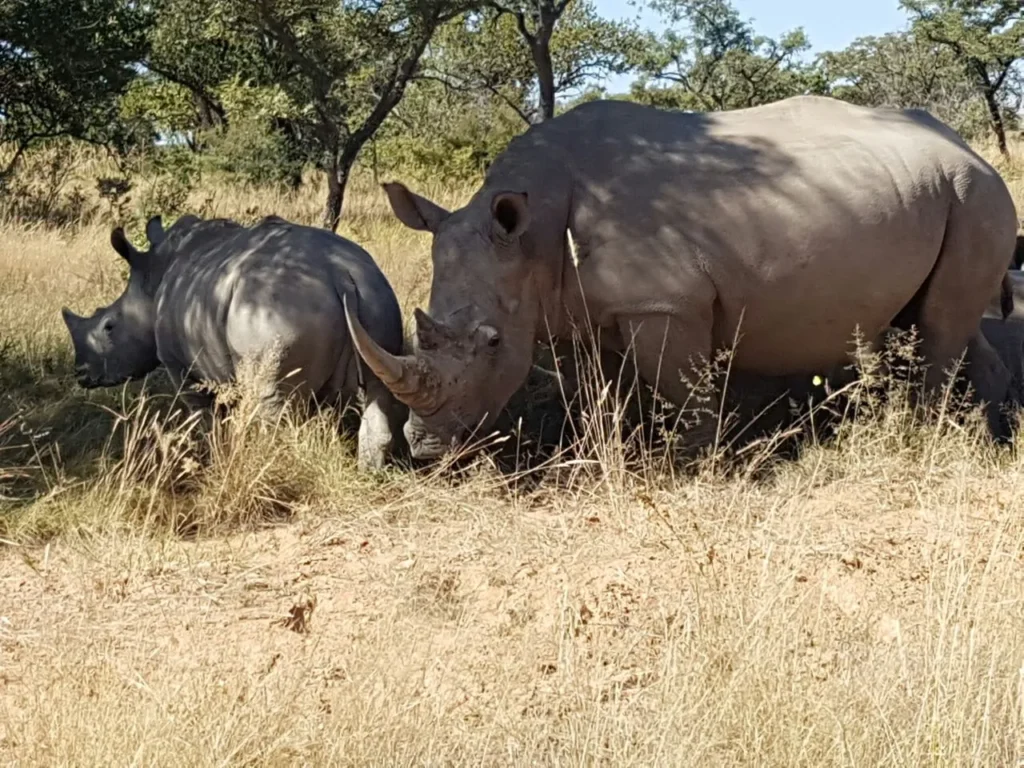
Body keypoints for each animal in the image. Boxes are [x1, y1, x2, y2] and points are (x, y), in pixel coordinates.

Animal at [61, 214, 406, 470]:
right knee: (379, 388)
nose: (81, 373)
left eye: (109, 326)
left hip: (277, 314)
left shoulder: (182, 368)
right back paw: (368, 474)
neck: (153, 278)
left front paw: (213, 457)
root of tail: (340, 274)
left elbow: (207, 418)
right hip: (376, 296)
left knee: (272, 408)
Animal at [343, 95, 1019, 459]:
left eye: (490, 344)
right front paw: (612, 447)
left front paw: (691, 466)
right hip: (943, 192)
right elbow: (605, 390)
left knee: (939, 326)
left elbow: (683, 387)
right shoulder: (588, 307)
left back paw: (922, 436)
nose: (427, 450)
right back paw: (991, 434)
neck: (531, 234)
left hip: (976, 193)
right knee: (944, 321)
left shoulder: (664, 302)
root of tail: (968, 148)